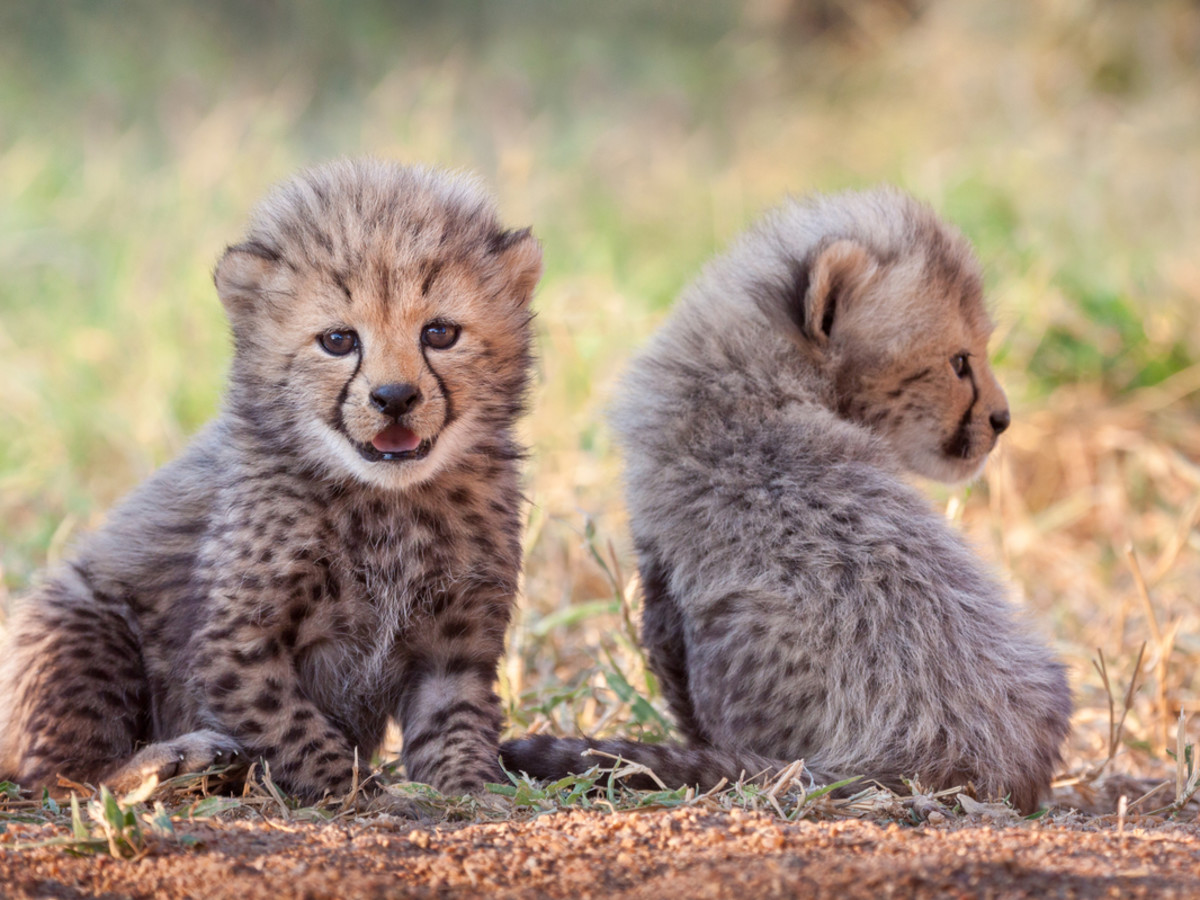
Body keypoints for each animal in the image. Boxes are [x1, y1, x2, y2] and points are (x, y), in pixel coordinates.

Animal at [0, 157, 542, 802]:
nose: (394, 398)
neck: (385, 501)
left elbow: (455, 726)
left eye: (439, 333)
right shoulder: (239, 646)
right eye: (338, 340)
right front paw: (353, 792)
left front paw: (470, 790)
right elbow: (292, 727)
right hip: (82, 619)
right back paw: (180, 761)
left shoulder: (452, 652)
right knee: (65, 778)